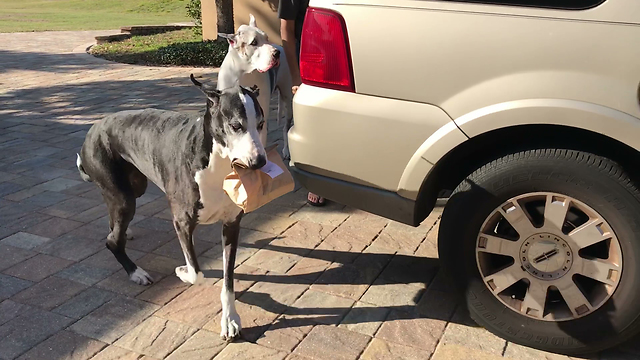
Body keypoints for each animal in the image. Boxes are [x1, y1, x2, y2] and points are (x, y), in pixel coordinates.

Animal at [77, 78, 264, 340]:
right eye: (235, 125)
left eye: (261, 123)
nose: (260, 162)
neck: (214, 162)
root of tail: (93, 129)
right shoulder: (182, 222)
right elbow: (197, 273)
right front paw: (182, 271)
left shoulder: (231, 225)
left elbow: (228, 280)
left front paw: (230, 320)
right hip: (123, 197)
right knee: (112, 240)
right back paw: (135, 272)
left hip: (135, 187)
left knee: (114, 223)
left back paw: (124, 233)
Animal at [216, 15, 294, 159]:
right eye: (254, 42)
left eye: (267, 38)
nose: (276, 53)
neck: (244, 72)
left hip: (288, 99)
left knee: (286, 128)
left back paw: (286, 150)